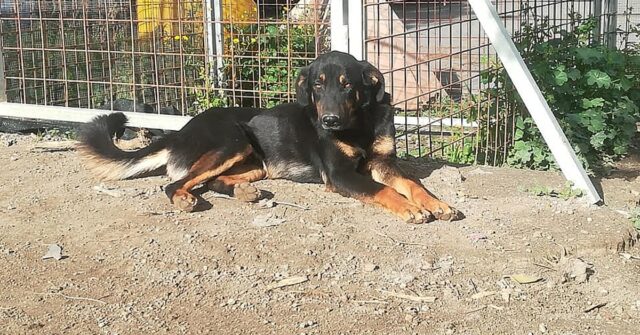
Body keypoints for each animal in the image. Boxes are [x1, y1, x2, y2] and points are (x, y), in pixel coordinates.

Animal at [79, 51, 460, 224]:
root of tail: (179, 132)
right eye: (317, 85)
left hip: (255, 161)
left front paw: (436, 203)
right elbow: (384, 191)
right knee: (176, 184)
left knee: (212, 181)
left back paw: (245, 192)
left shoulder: (383, 163)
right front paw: (410, 209)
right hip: (232, 141)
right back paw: (185, 199)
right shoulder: (340, 175)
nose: (329, 120)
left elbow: (412, 184)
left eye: (347, 85)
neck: (358, 123)